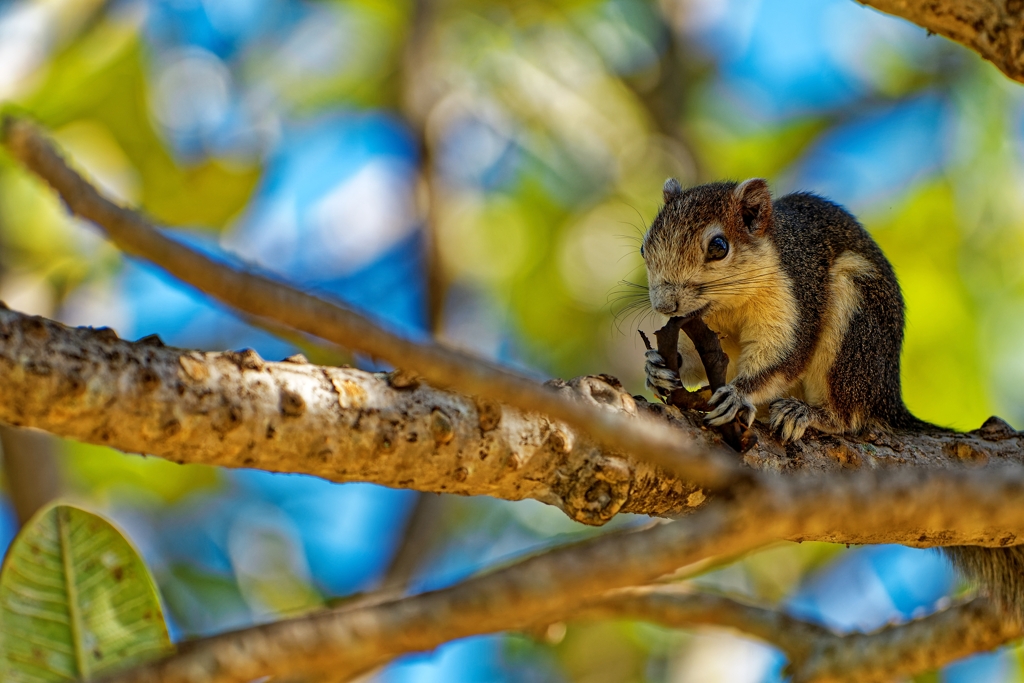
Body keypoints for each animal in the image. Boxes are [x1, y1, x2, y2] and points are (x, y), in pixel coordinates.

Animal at [638, 178, 1024, 626]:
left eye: (719, 246)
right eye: (645, 247)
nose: (664, 304)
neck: (729, 302)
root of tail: (888, 398)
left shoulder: (796, 295)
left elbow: (783, 356)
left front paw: (737, 394)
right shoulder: (699, 322)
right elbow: (686, 349)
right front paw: (656, 367)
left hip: (853, 329)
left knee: (850, 416)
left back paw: (807, 413)